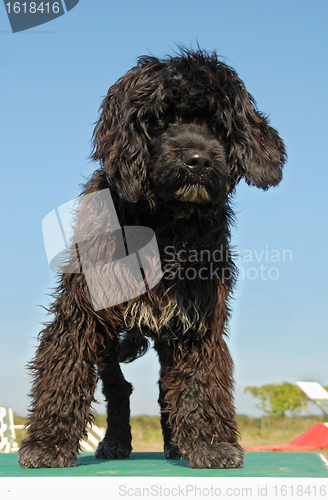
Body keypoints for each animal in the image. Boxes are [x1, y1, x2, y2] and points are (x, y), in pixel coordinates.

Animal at [18, 48, 284, 466]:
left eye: (218, 124)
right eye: (161, 119)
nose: (199, 160)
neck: (163, 222)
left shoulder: (195, 319)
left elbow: (199, 378)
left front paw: (210, 443)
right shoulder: (83, 312)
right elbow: (66, 367)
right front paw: (46, 443)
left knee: (164, 390)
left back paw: (175, 442)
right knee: (117, 387)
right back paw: (115, 442)